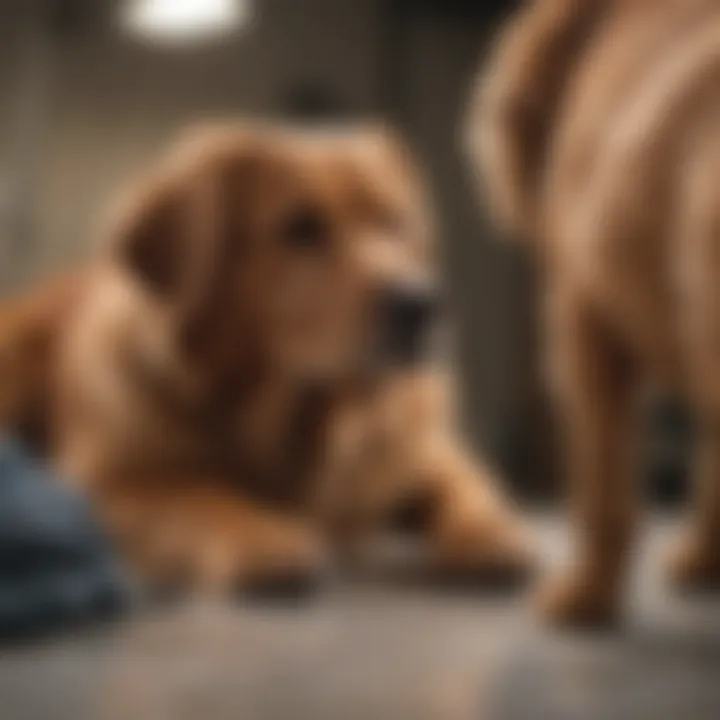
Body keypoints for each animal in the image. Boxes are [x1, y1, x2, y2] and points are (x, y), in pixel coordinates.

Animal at [0, 125, 528, 596]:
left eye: (395, 221)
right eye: (301, 229)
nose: (421, 305)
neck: (296, 420)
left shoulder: (428, 455)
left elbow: (471, 492)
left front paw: (491, 535)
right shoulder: (103, 482)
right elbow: (202, 496)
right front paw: (263, 539)